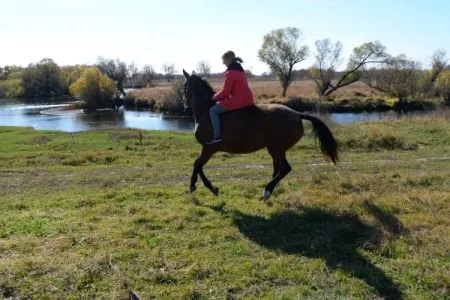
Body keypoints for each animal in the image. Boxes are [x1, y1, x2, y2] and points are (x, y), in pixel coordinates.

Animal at [182, 70, 338, 199]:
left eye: (184, 86)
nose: (184, 105)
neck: (206, 111)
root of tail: (297, 114)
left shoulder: (209, 148)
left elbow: (198, 165)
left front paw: (203, 187)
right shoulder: (207, 149)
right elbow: (197, 164)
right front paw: (200, 186)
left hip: (276, 149)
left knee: (285, 169)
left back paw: (267, 191)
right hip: (277, 150)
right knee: (278, 170)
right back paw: (269, 191)